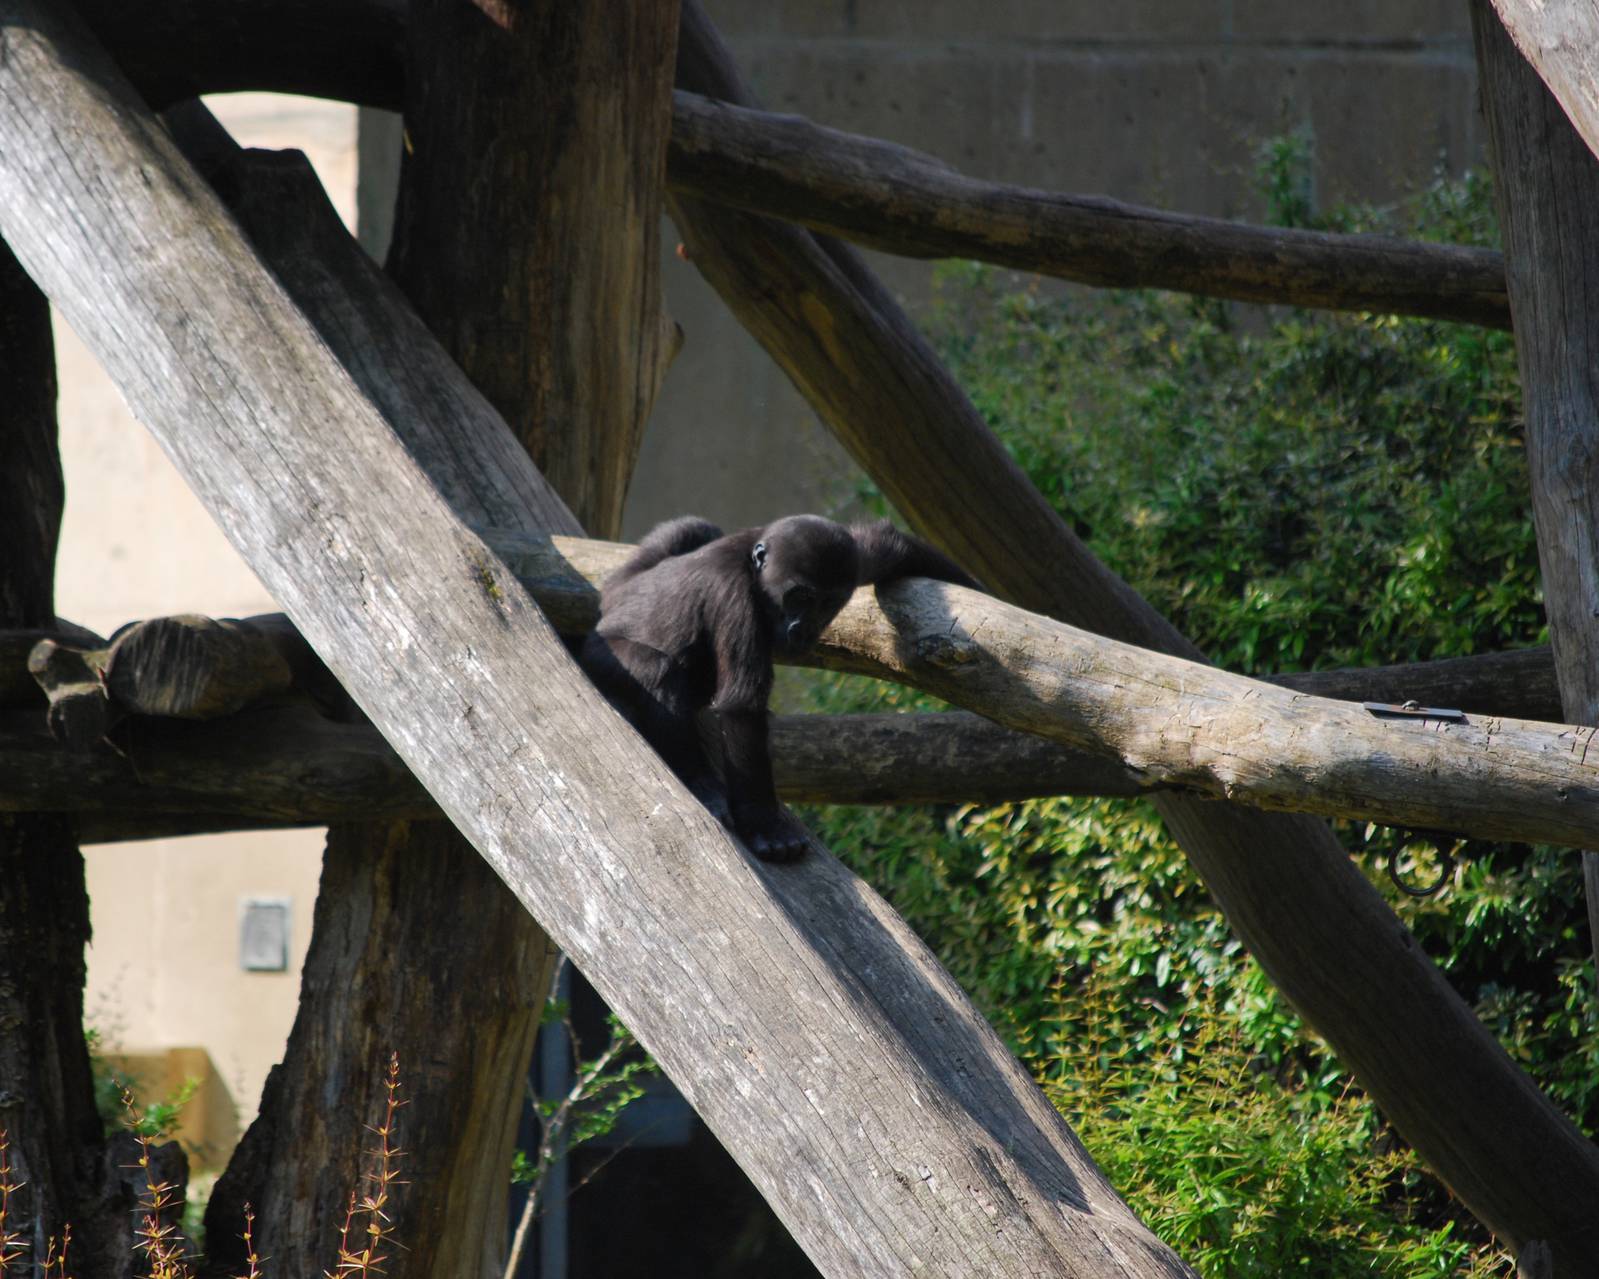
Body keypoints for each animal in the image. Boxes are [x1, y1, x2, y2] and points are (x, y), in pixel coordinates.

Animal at [579, 514, 980, 862]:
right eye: (799, 597)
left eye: (828, 603)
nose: (802, 629)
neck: (754, 565)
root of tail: (605, 612)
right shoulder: (735, 595)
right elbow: (742, 707)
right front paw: (765, 825)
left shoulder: (852, 560)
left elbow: (891, 544)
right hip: (599, 652)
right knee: (657, 667)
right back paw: (700, 781)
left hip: (620, 582)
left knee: (693, 527)